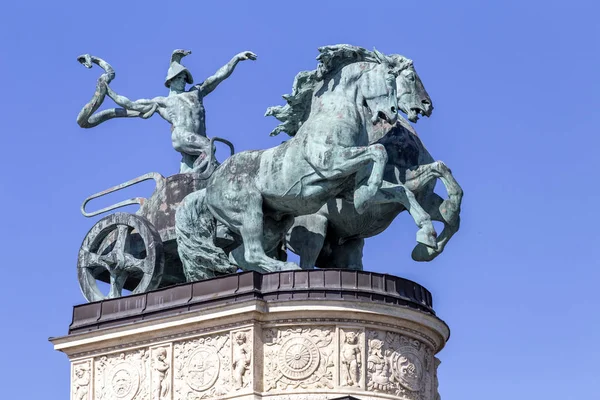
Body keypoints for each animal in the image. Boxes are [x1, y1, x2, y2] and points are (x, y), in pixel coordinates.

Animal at [175, 45, 408, 276]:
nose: (393, 113)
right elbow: (378, 151)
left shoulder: (346, 187)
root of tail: (208, 188)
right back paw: (287, 267)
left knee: (242, 253)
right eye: (389, 78)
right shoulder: (331, 163)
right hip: (249, 211)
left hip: (274, 222)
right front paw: (365, 197)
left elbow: (399, 189)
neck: (333, 115)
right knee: (252, 253)